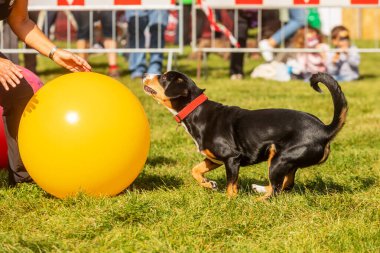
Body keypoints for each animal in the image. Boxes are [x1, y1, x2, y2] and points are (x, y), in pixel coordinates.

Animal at [143, 70, 348, 199]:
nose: (145, 75)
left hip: (279, 159)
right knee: (286, 185)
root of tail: (325, 129)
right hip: (286, 161)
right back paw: (259, 189)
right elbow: (195, 170)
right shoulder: (214, 159)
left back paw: (258, 201)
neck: (196, 112)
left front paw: (229, 202)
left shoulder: (231, 158)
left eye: (163, 77)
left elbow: (231, 187)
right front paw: (208, 184)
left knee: (277, 191)